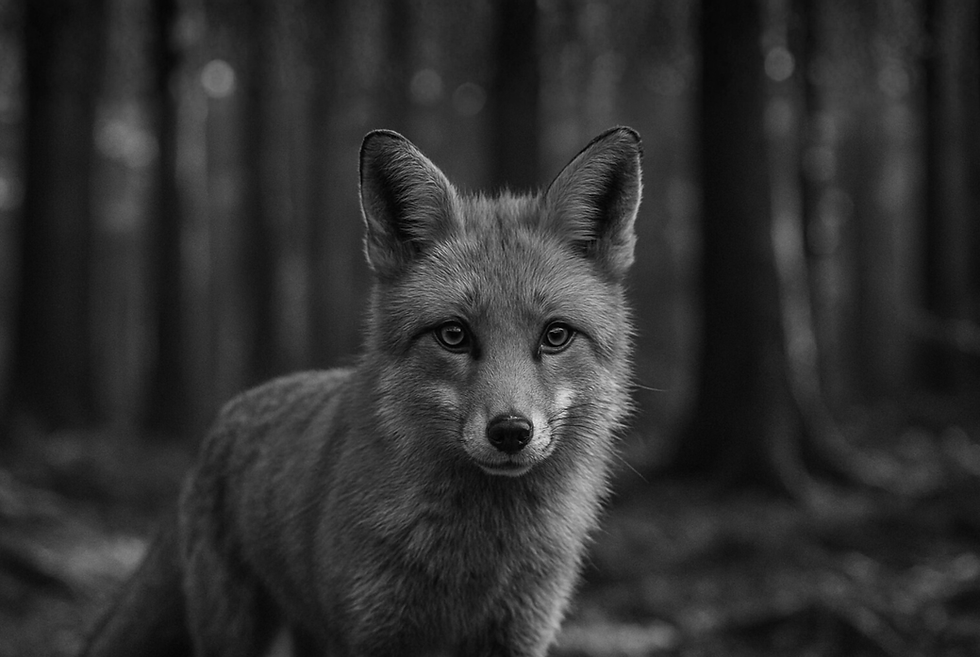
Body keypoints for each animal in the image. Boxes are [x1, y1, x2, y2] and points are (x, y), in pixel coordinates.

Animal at [82, 126, 642, 657]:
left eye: (556, 336)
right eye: (454, 335)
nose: (510, 431)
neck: (478, 555)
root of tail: (229, 414)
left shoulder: (518, 633)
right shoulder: (370, 631)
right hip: (237, 631)